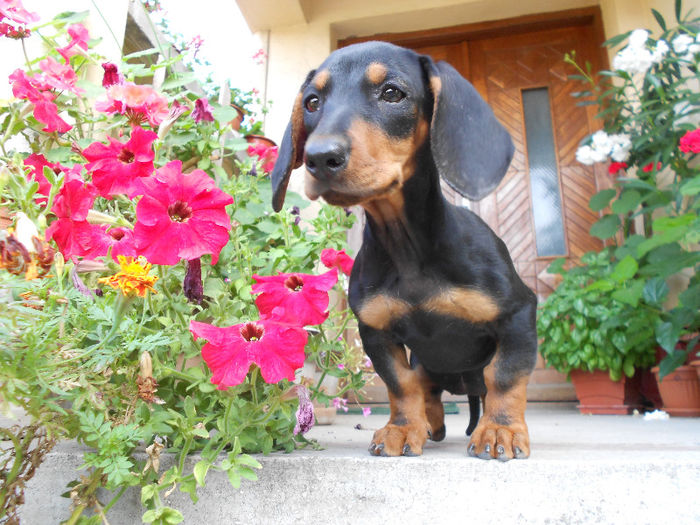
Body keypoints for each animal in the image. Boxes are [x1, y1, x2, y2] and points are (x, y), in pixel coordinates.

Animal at [268, 42, 536, 458]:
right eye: (312, 101)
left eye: (392, 93)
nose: (319, 158)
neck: (407, 249)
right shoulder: (376, 331)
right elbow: (401, 384)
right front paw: (402, 428)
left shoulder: (518, 314)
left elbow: (505, 377)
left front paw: (500, 430)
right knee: (428, 388)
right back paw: (429, 423)